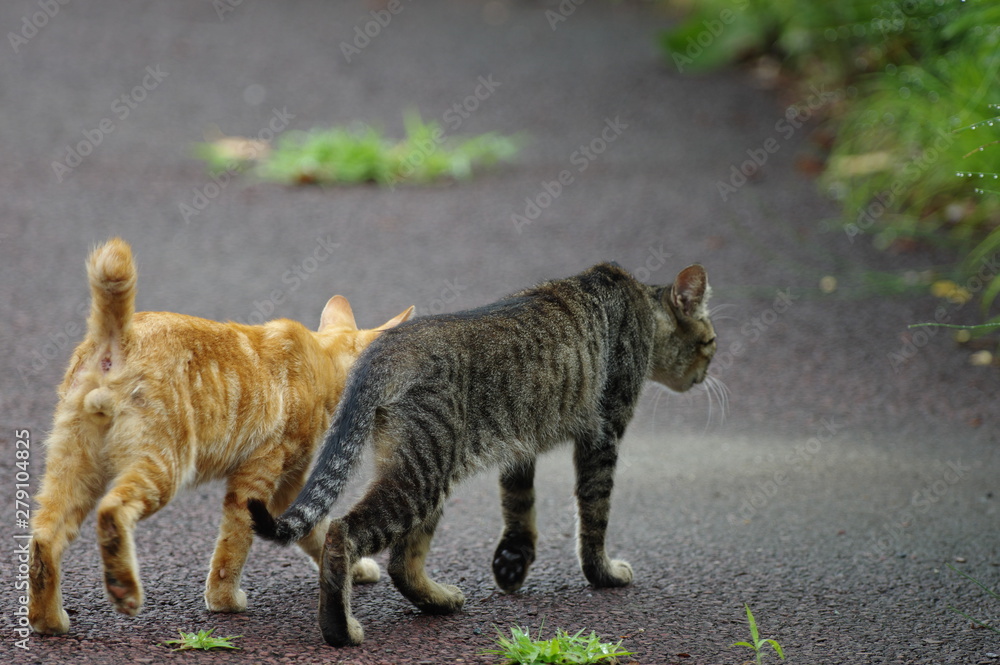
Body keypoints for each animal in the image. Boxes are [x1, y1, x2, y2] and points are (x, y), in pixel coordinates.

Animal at [29, 239, 414, 632]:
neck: (323, 365)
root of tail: (117, 339)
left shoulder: (287, 486)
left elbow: (313, 530)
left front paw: (352, 566)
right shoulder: (256, 478)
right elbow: (235, 544)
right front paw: (224, 601)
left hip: (75, 468)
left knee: (44, 537)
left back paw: (48, 620)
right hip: (165, 466)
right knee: (112, 511)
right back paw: (124, 589)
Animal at [252, 262, 720, 644]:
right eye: (710, 342)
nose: (706, 373)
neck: (639, 300)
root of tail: (384, 348)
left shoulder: (520, 445)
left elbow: (519, 504)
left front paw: (514, 562)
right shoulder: (604, 435)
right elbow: (594, 515)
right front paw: (602, 574)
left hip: (429, 471)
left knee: (404, 562)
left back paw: (440, 600)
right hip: (423, 475)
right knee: (343, 532)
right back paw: (340, 630)